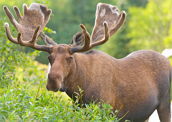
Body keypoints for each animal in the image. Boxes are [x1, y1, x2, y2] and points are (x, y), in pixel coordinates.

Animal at [3, 2, 171, 121]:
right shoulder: (78, 109)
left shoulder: (106, 110)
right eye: (49, 57)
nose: (52, 81)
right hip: (143, 114)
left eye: (70, 58)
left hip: (165, 103)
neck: (80, 90)